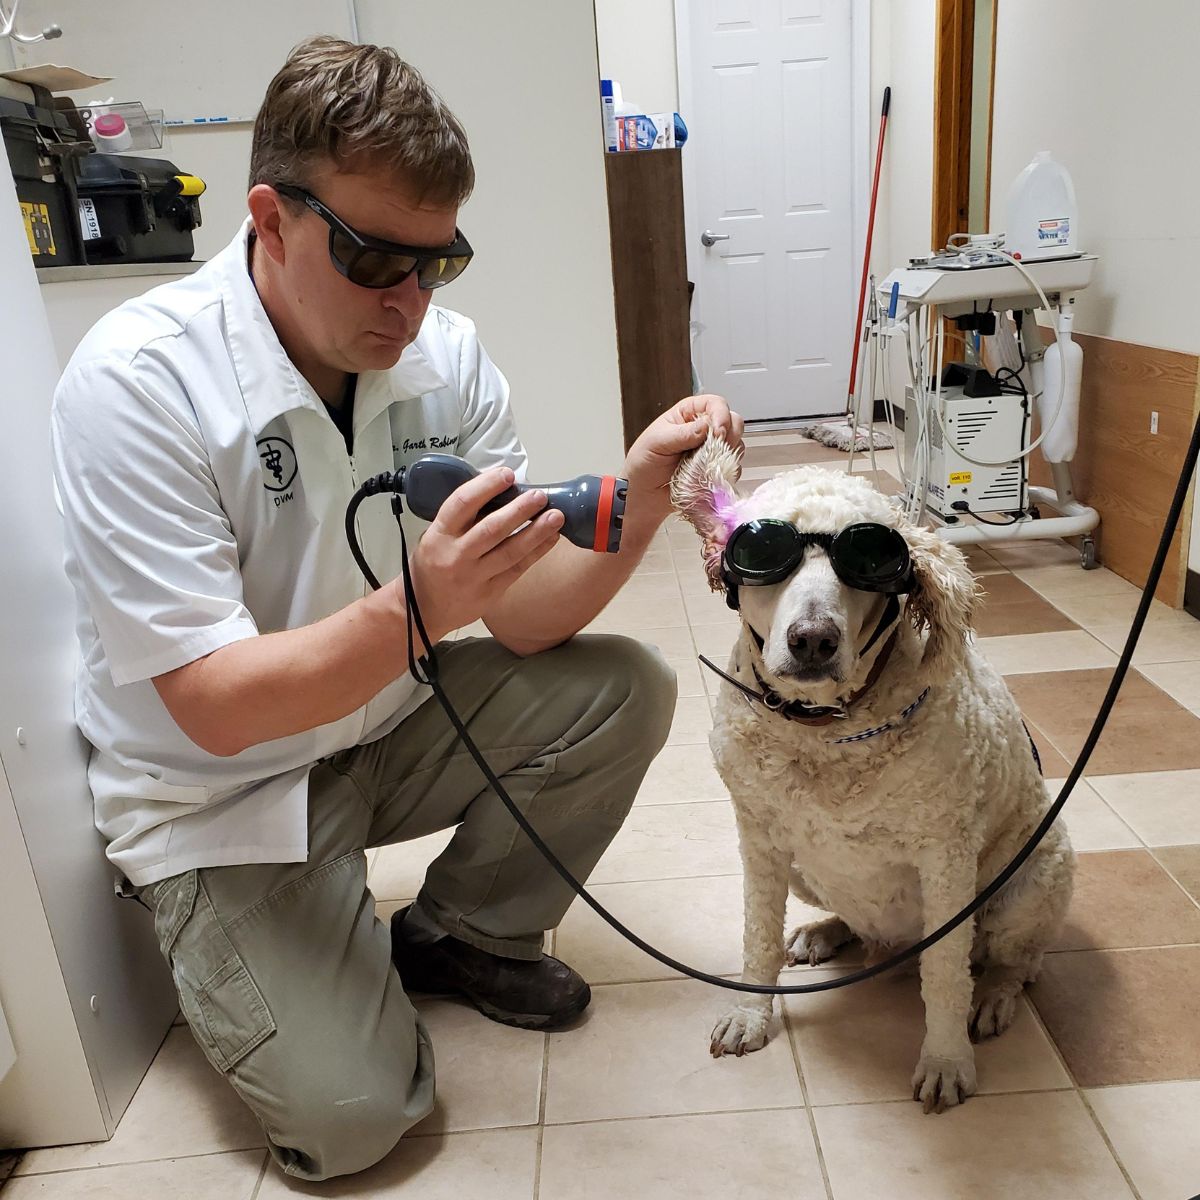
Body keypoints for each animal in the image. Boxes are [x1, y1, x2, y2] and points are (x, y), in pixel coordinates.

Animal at [672, 436, 1075, 1108]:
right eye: (761, 553)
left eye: (868, 559)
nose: (813, 640)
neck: (822, 731)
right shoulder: (759, 840)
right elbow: (758, 933)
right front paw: (753, 1015)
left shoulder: (946, 859)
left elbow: (946, 975)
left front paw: (946, 1060)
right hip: (806, 873)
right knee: (861, 926)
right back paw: (825, 932)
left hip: (1033, 879)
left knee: (1018, 962)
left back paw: (994, 997)